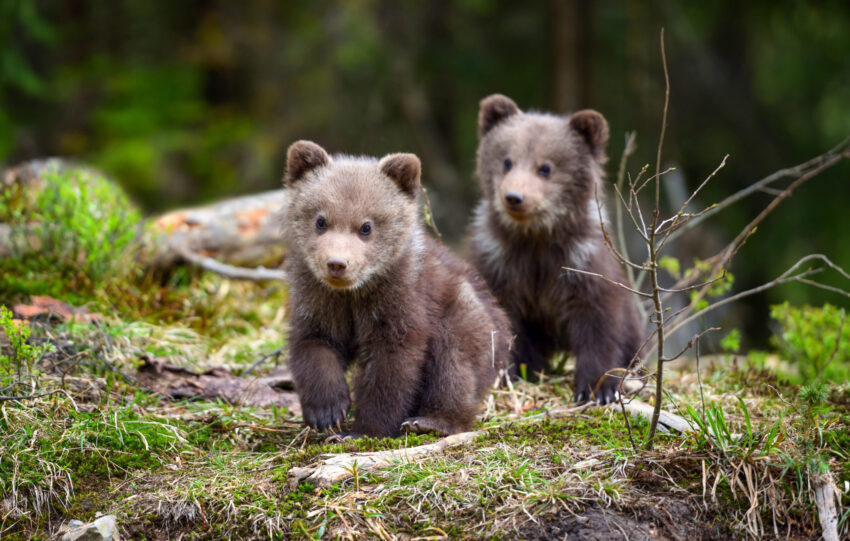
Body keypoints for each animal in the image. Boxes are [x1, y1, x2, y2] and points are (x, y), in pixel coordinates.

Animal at [281, 140, 512, 438]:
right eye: (320, 220)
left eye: (366, 226)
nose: (336, 264)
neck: (354, 293)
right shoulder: (317, 297)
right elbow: (315, 345)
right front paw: (327, 412)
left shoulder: (400, 299)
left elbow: (393, 364)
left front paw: (365, 429)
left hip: (465, 318)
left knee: (454, 368)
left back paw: (432, 421)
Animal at [467, 94, 642, 404]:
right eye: (507, 161)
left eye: (545, 167)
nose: (514, 197)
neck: (537, 239)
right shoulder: (500, 265)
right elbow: (505, 324)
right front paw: (511, 373)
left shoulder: (582, 264)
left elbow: (600, 324)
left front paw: (598, 388)